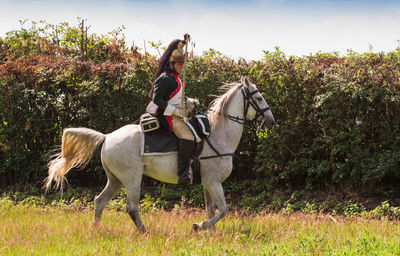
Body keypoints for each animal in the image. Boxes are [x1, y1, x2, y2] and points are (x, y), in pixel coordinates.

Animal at [44, 76, 276, 232]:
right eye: (259, 97)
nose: (271, 121)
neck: (218, 134)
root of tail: (107, 136)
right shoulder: (213, 182)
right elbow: (223, 210)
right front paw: (199, 226)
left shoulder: (208, 183)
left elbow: (213, 210)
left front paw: (211, 232)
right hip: (132, 178)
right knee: (131, 207)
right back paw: (144, 231)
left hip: (115, 179)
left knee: (99, 201)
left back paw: (97, 229)